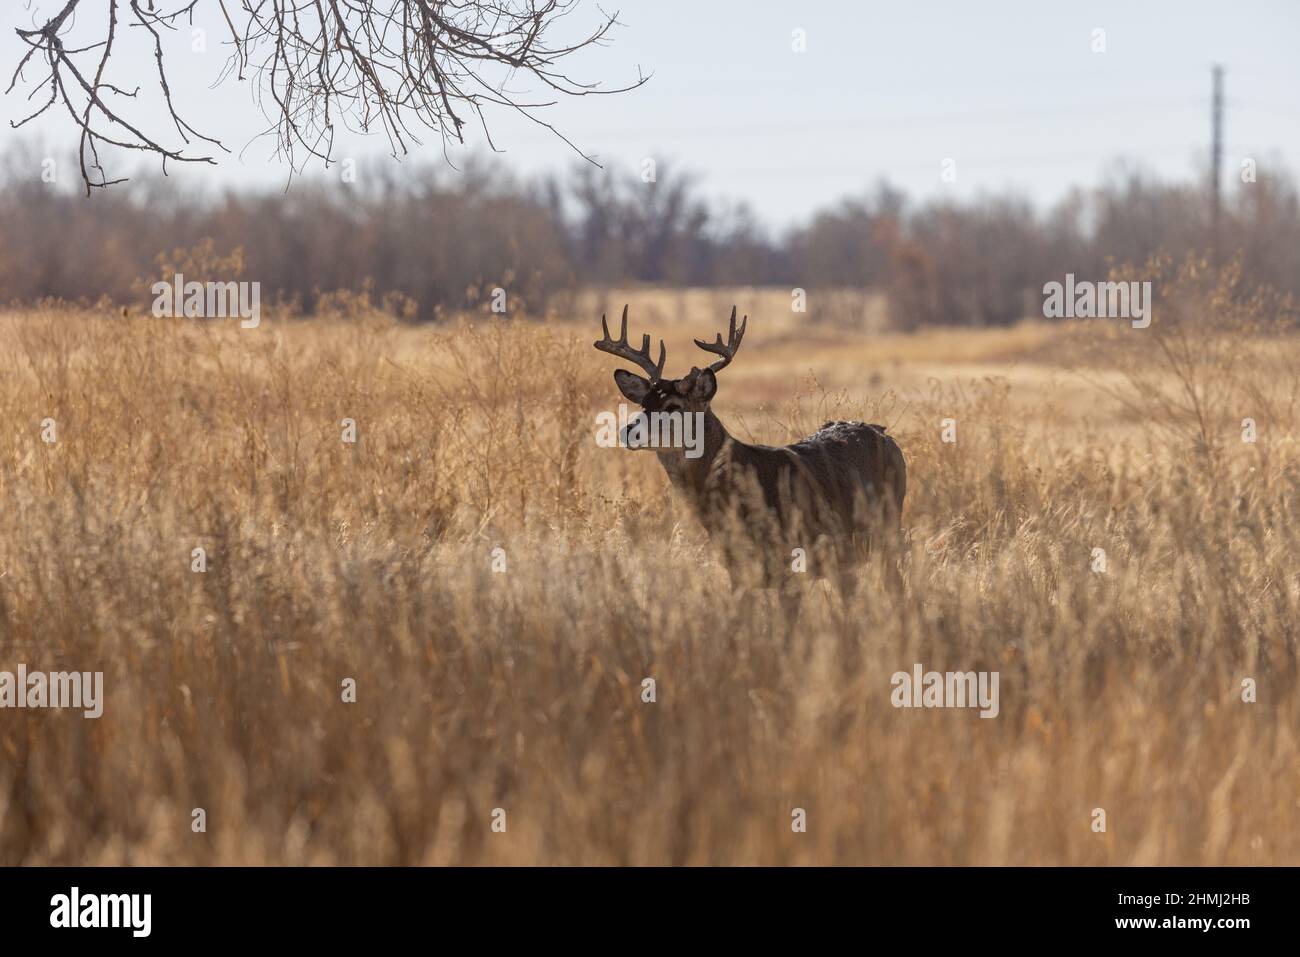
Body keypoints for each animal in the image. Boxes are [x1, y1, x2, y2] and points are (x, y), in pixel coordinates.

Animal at [595, 305, 906, 597]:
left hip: (888, 531)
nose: (628, 431)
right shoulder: (737, 570)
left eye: (673, 406)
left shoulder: (787, 562)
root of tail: (885, 434)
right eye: (644, 404)